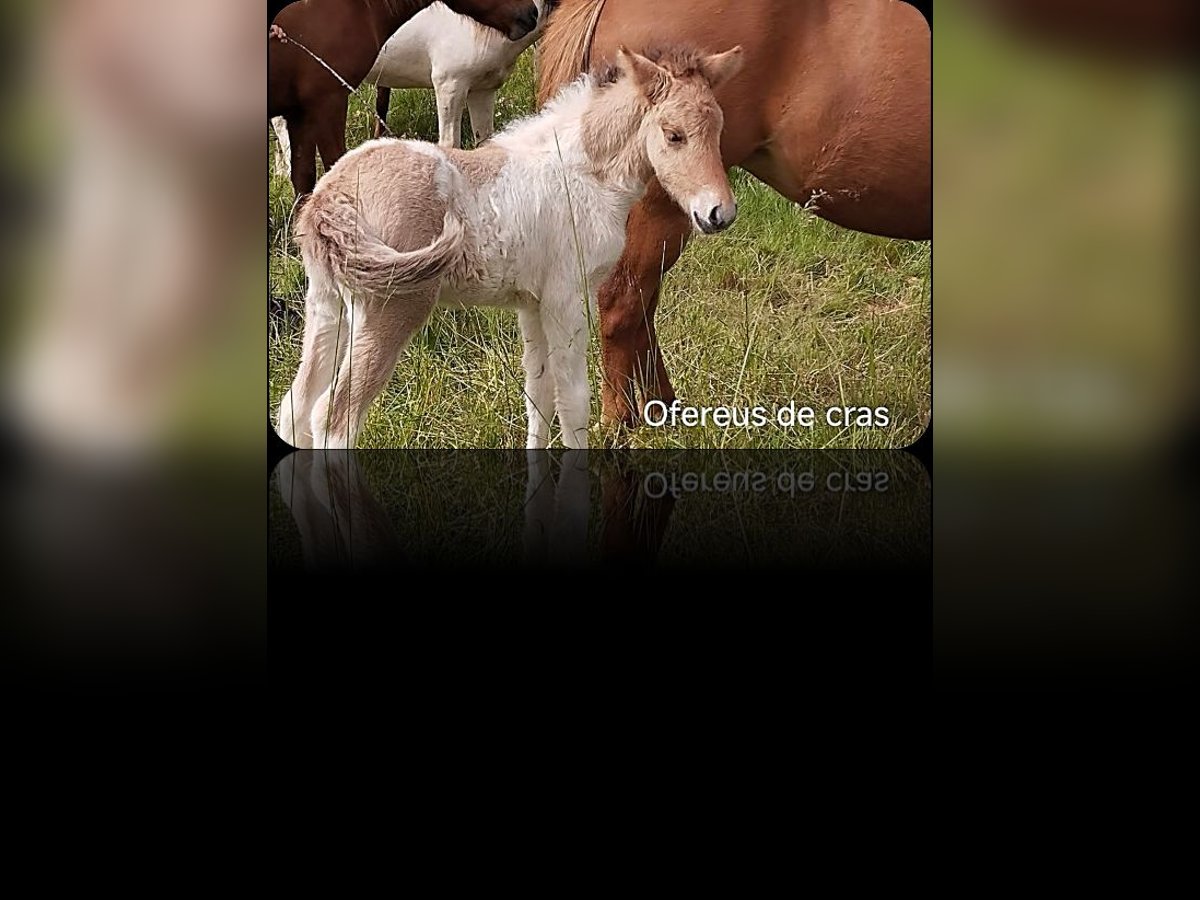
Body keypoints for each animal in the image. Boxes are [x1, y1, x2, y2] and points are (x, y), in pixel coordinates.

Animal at [278, 44, 739, 448]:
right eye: (673, 135)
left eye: (719, 128)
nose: (719, 213)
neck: (583, 174)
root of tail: (331, 196)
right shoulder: (567, 298)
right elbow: (574, 403)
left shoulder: (532, 304)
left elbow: (539, 397)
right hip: (390, 308)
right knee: (333, 418)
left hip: (327, 304)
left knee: (294, 407)